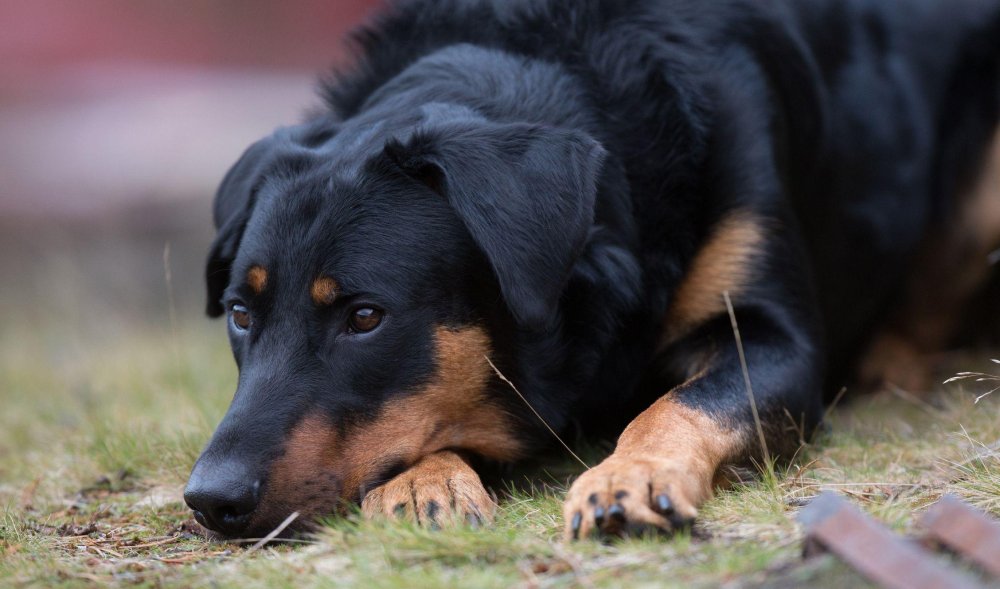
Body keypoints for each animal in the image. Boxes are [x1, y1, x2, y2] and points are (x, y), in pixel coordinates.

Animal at [182, 0, 1000, 540]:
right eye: (241, 314)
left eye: (364, 317)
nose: (208, 500)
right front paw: (423, 482)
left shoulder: (775, 339)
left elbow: (682, 402)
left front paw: (627, 476)